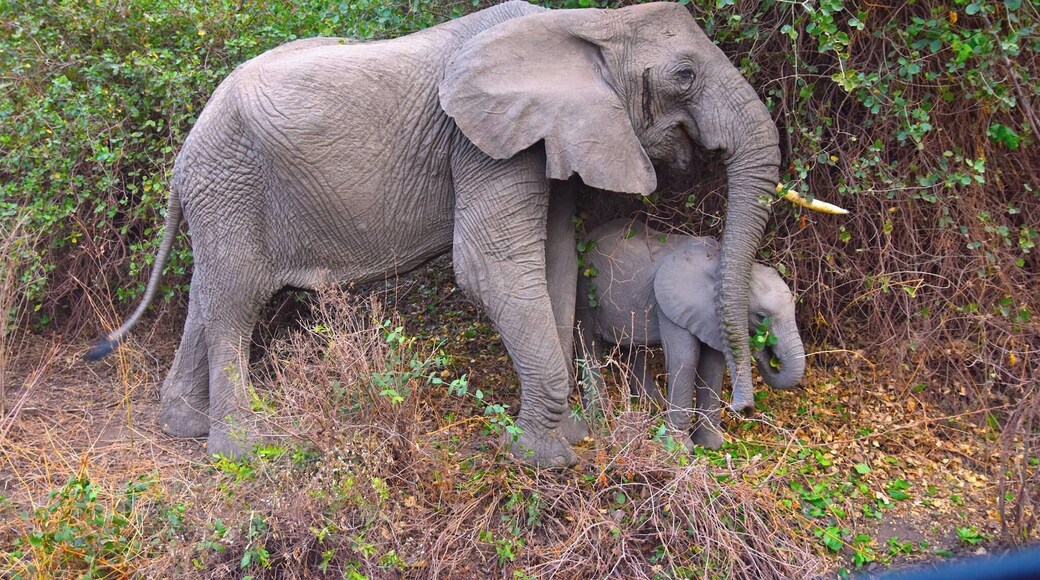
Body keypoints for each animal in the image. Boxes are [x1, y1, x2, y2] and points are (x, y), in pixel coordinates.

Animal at [576, 220, 805, 450]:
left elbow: (713, 366)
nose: (745, 411)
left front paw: (712, 444)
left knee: (632, 347)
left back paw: (652, 405)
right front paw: (679, 449)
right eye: (760, 316)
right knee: (588, 341)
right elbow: (685, 359)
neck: (717, 265)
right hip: (586, 289)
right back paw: (600, 414)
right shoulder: (671, 306)